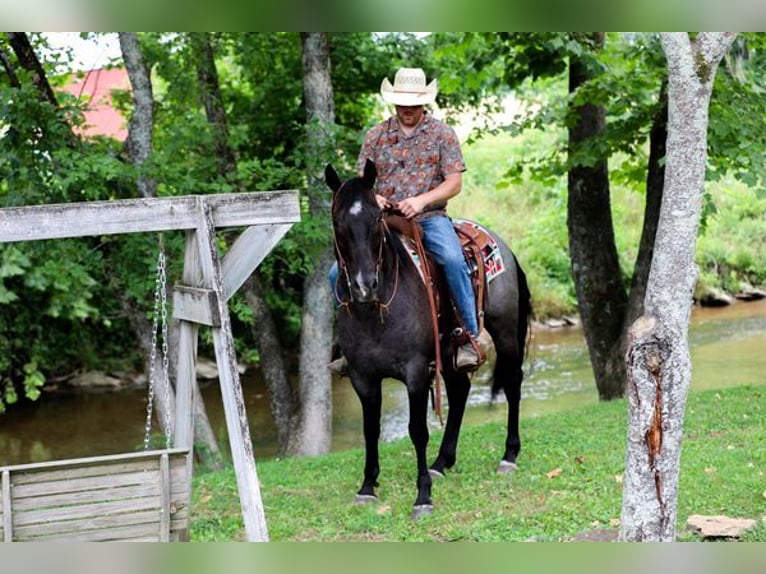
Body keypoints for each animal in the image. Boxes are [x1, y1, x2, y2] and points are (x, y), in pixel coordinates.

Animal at [326, 160, 536, 520]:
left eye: (377, 217)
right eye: (338, 220)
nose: (364, 285)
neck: (375, 311)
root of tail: (501, 245)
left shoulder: (415, 371)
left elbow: (417, 431)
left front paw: (423, 496)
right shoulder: (362, 376)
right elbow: (371, 430)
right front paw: (367, 486)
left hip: (505, 331)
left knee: (511, 382)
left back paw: (508, 456)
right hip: (450, 350)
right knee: (461, 390)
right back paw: (442, 461)